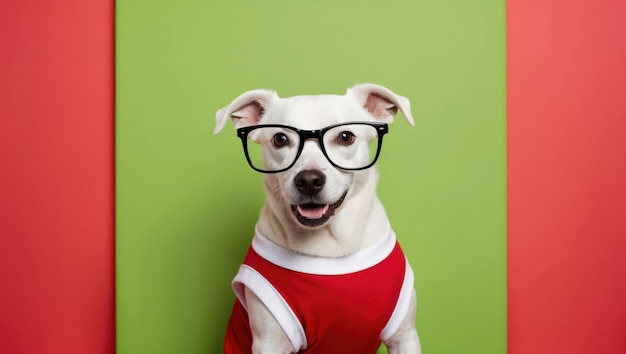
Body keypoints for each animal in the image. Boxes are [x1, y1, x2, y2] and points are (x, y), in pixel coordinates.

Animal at [214, 83, 420, 354]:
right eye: (280, 139)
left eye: (345, 137)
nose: (309, 180)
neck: (331, 248)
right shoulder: (270, 343)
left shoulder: (404, 336)